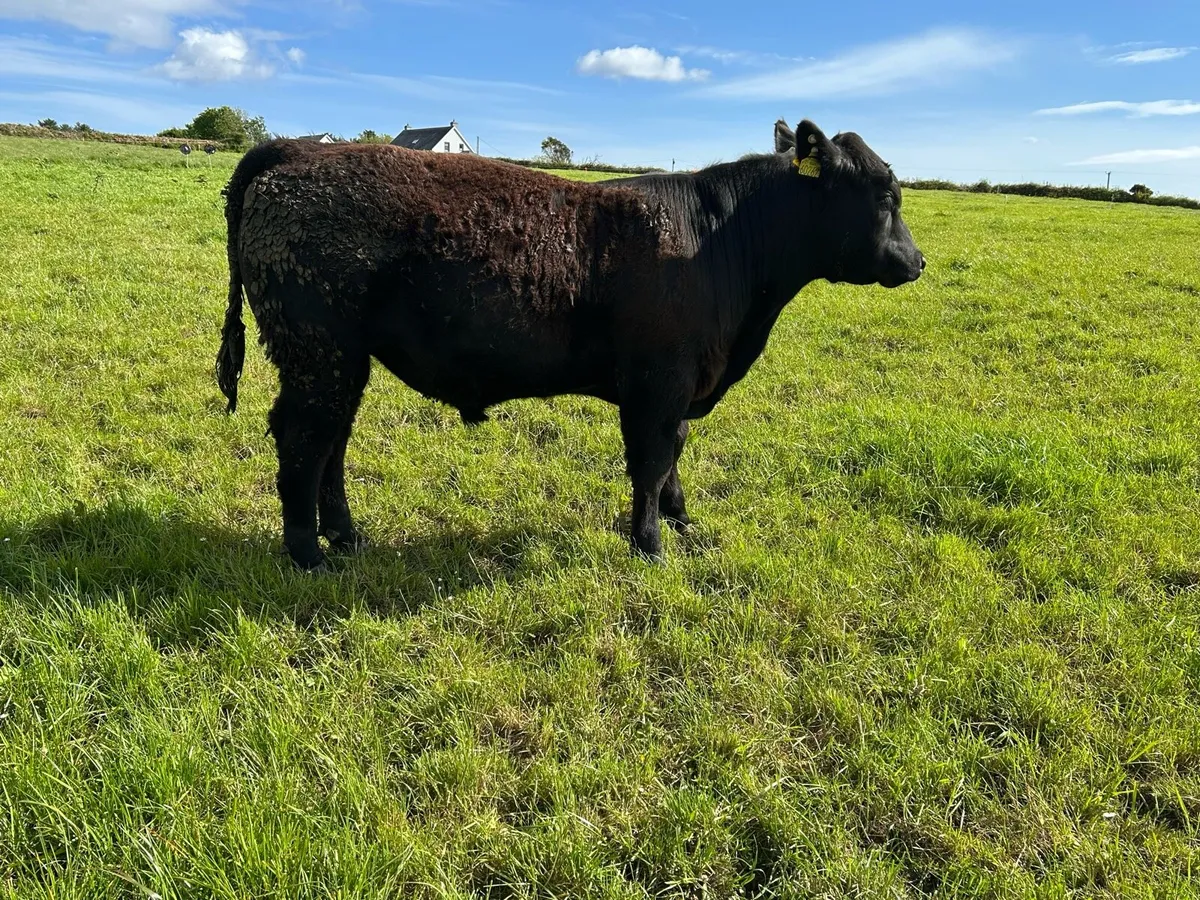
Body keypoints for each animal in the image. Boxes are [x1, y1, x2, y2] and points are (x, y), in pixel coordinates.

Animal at [215, 118, 924, 570]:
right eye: (885, 192)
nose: (917, 262)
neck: (716, 240)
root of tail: (296, 152)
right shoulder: (656, 385)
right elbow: (650, 461)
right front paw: (650, 546)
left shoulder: (679, 386)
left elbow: (674, 456)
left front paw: (683, 524)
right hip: (318, 351)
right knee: (304, 440)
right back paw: (309, 555)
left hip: (342, 360)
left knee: (332, 440)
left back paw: (346, 537)